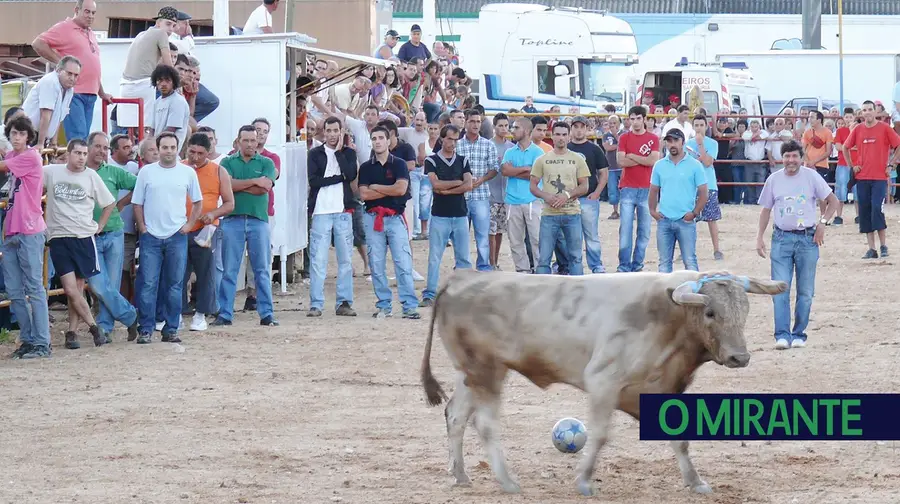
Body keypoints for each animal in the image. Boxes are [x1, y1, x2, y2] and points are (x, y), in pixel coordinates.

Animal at [422, 268, 788, 496]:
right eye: (710, 313)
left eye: (744, 311)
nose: (740, 357)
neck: (668, 316)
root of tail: (463, 277)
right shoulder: (603, 381)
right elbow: (598, 435)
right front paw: (584, 481)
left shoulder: (664, 389)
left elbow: (679, 440)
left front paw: (695, 481)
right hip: (487, 371)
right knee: (484, 424)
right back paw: (508, 481)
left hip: (471, 374)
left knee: (455, 415)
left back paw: (460, 474)